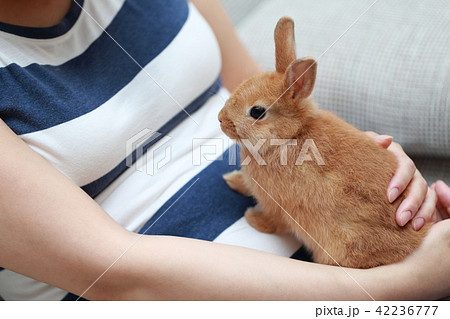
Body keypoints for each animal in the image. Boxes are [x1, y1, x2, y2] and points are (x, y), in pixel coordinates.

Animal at [220, 16, 430, 268]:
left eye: (257, 111)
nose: (220, 119)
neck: (290, 137)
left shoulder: (277, 206)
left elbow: (274, 223)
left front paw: (252, 218)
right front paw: (232, 179)